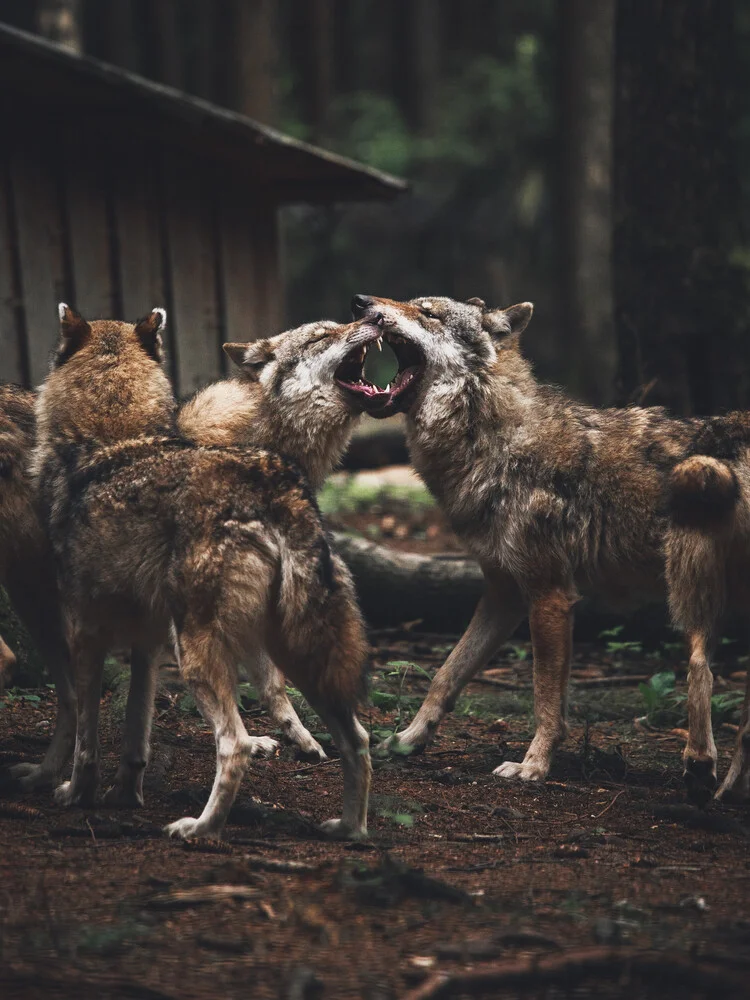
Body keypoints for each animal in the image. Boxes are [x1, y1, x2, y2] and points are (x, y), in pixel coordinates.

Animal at [33, 308, 378, 840]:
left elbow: (89, 739)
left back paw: (200, 828)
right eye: (324, 333)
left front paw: (79, 793)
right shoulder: (152, 636)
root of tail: (272, 483)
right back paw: (348, 827)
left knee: (235, 744)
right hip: (290, 642)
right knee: (355, 739)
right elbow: (143, 727)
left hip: (197, 648)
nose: (374, 314)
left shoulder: (91, 632)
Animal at [352, 292, 748, 804]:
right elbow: (447, 674)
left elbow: (543, 699)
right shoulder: (504, 594)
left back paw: (700, 766)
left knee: (700, 666)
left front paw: (533, 766)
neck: (492, 436)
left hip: (688, 568)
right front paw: (407, 740)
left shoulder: (549, 595)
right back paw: (729, 791)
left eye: (428, 312)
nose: (361, 302)